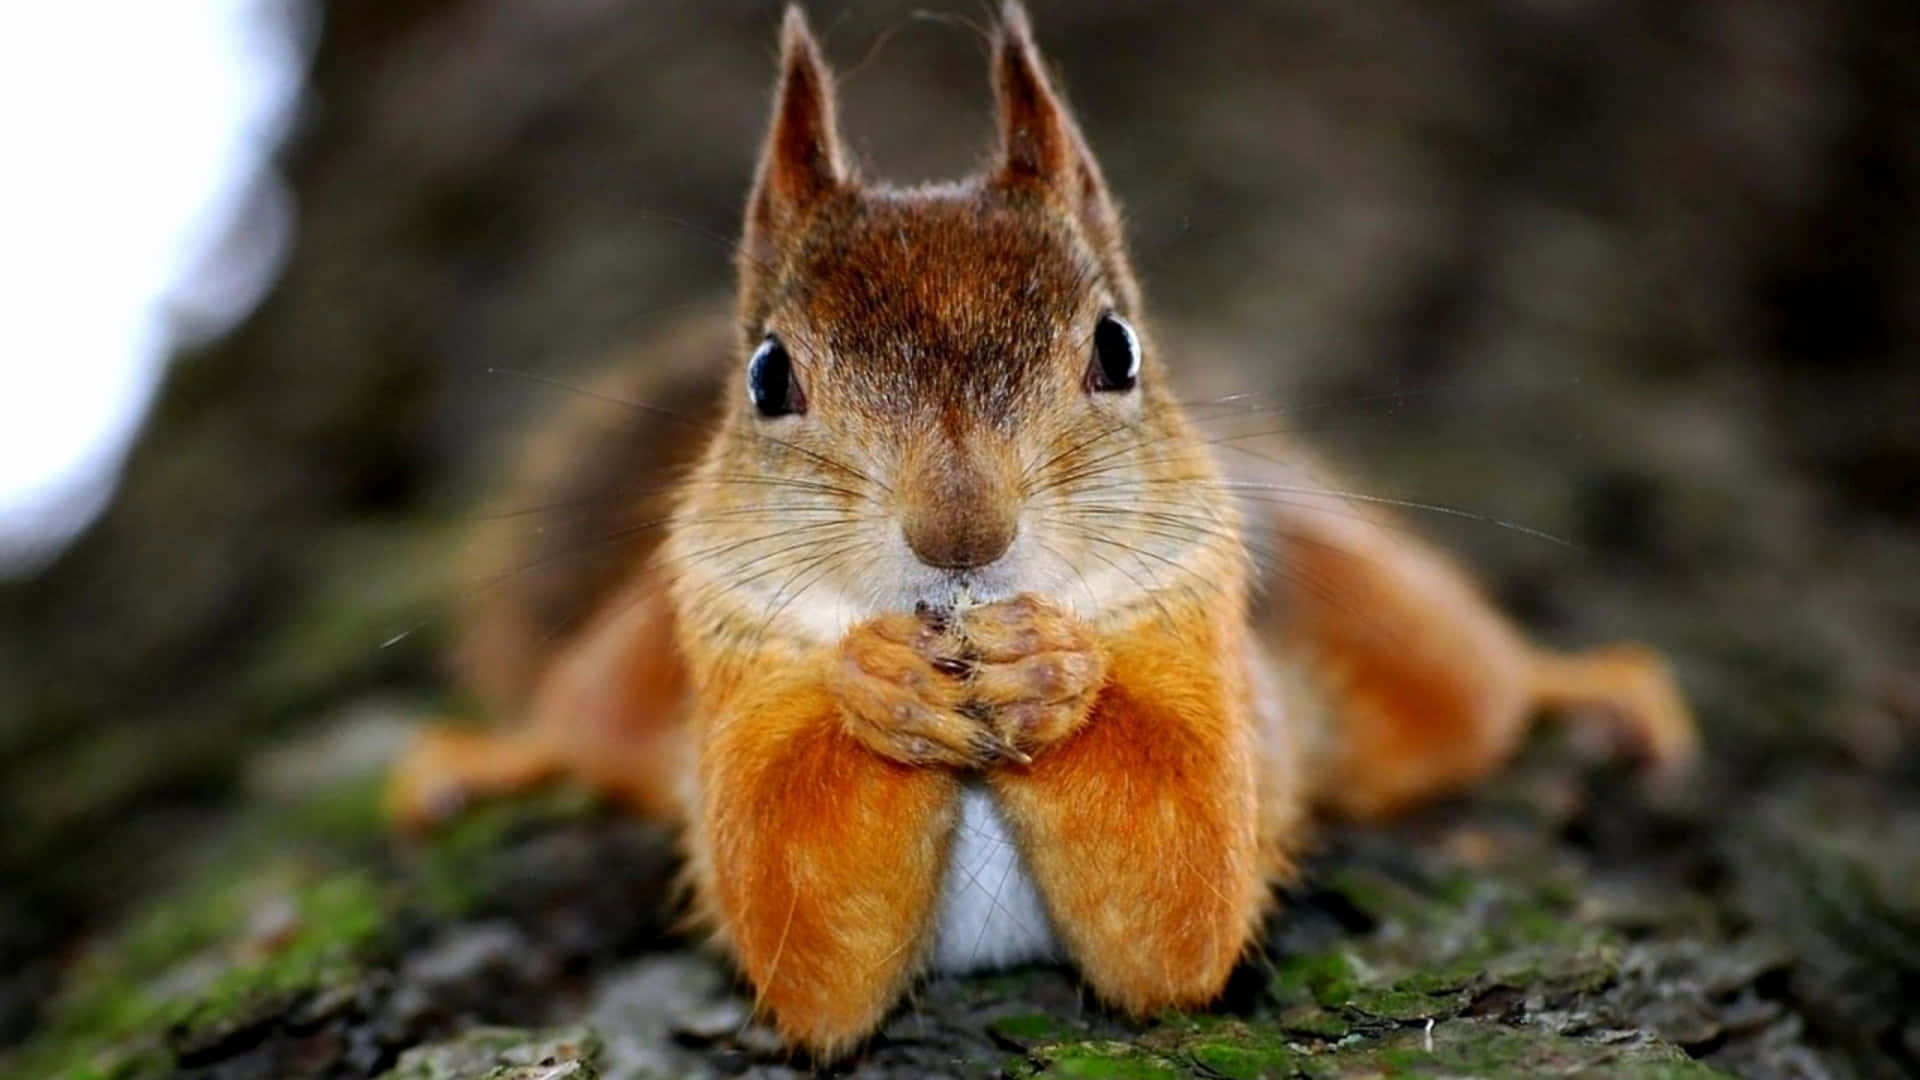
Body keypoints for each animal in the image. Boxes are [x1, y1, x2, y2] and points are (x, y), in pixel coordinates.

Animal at [385, 2, 1697, 1060]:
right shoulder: (732, 662)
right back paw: (483, 760)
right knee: (581, 727)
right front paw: (878, 684)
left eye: (1117, 349)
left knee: (1475, 689)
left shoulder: (1208, 650)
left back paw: (1592, 686)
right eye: (766, 375)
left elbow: (1185, 891)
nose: (960, 531)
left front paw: (1052, 673)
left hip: (1379, 626)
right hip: (629, 671)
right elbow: (800, 927)